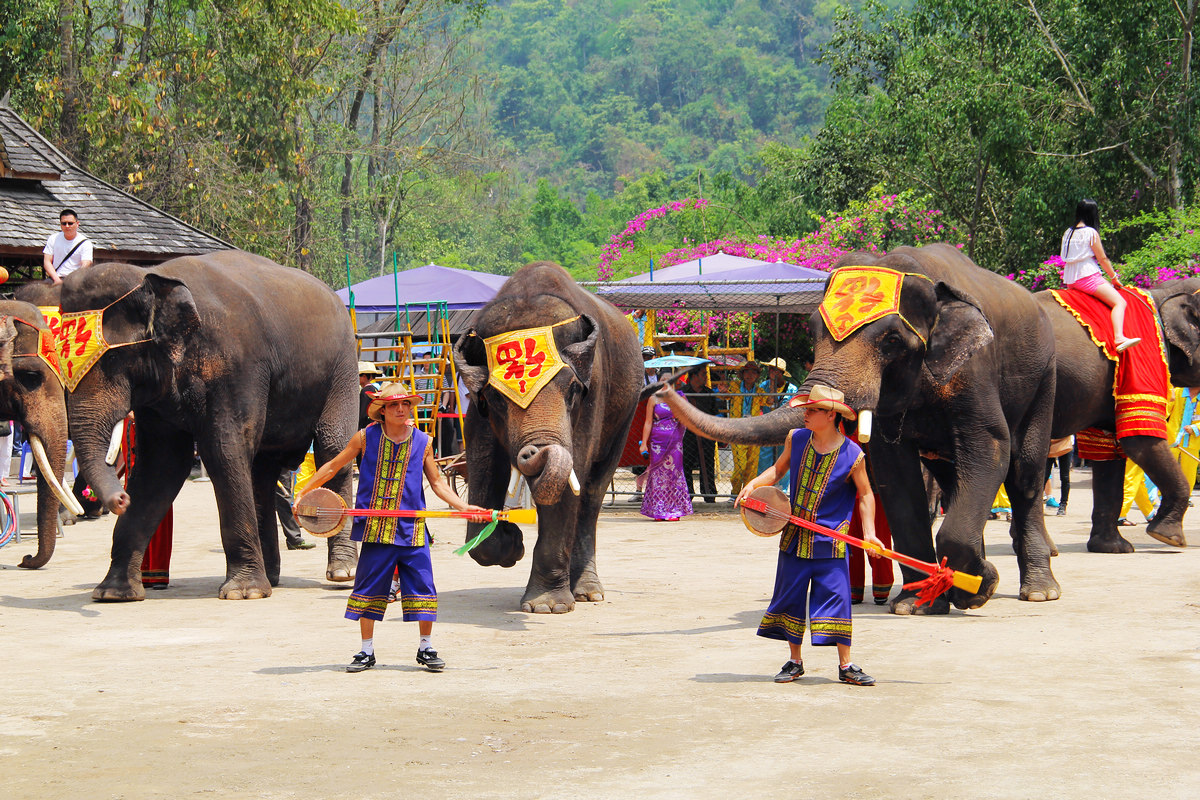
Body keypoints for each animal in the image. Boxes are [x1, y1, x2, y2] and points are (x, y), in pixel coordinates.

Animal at [60, 250, 357, 599]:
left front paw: (243, 593)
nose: (120, 499)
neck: (153, 276)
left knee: (332, 446)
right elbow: (162, 464)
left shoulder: (237, 367)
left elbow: (222, 450)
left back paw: (341, 573)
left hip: (342, 367)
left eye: (111, 359)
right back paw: (271, 578)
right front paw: (113, 594)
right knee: (261, 470)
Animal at [453, 262, 648, 614]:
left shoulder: (594, 392)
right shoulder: (476, 409)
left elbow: (575, 468)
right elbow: (483, 462)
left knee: (592, 493)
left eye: (573, 390)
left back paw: (587, 593)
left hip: (626, 413)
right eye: (497, 399)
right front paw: (512, 543)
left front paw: (546, 607)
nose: (534, 451)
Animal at [657, 247, 1060, 618]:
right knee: (953, 477)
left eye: (892, 341)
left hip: (1045, 377)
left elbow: (990, 446)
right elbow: (894, 474)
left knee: (1024, 473)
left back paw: (1039, 592)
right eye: (812, 330)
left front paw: (979, 587)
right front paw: (918, 604)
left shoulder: (974, 370)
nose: (662, 384)